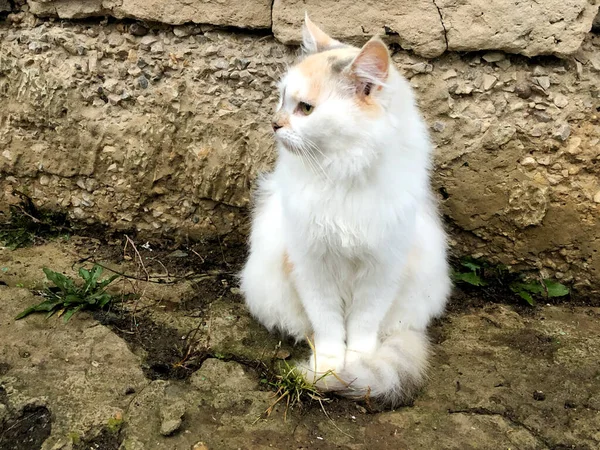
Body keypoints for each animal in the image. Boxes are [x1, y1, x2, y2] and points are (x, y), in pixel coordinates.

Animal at [239, 14, 450, 408]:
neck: (342, 172)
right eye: (282, 100)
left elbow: (363, 330)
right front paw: (329, 368)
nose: (275, 124)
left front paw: (357, 366)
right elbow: (328, 327)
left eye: (305, 109)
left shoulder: (382, 269)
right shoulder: (311, 266)